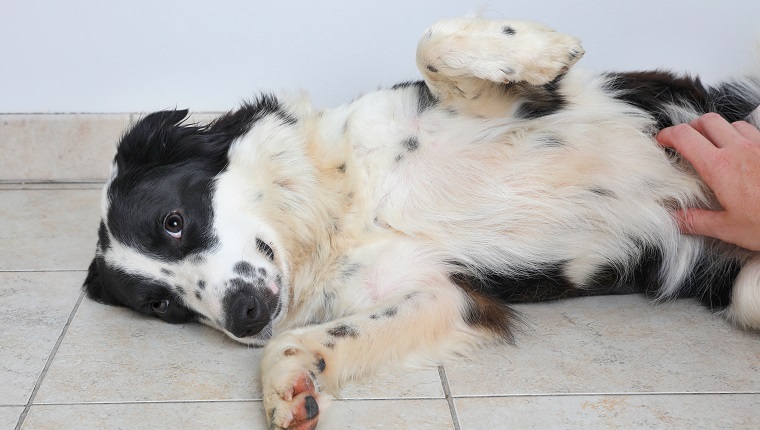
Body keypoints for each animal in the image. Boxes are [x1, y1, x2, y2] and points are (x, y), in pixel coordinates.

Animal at [83, 17, 760, 430]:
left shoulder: (493, 105)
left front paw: (544, 49)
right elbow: (297, 343)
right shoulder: (439, 294)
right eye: (163, 306)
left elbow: (432, 44)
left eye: (174, 222)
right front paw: (289, 391)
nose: (242, 317)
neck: (345, 207)